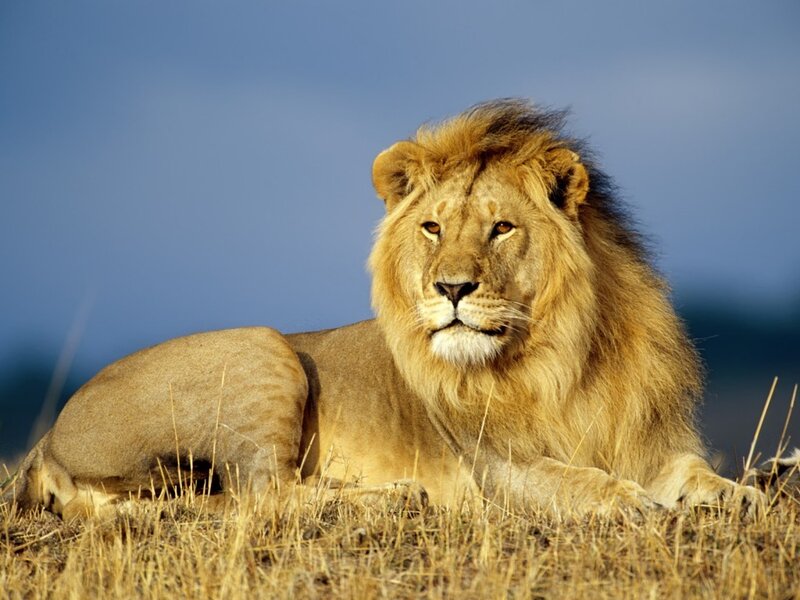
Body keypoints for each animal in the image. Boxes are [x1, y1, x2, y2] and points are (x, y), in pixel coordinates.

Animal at [2, 99, 764, 520]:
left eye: (500, 228)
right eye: (432, 228)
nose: (451, 289)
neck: (563, 356)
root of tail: (47, 437)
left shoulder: (648, 439)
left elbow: (692, 472)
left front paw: (740, 495)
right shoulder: (496, 469)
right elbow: (572, 479)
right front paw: (627, 500)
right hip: (262, 348)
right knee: (262, 495)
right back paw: (394, 497)